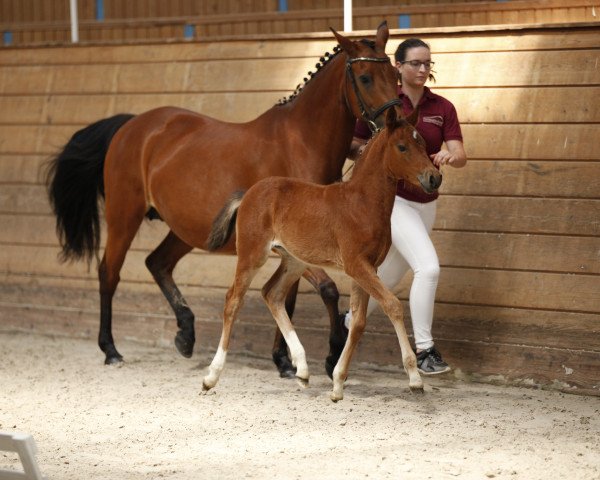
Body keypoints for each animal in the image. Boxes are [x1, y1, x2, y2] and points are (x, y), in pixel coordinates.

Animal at [205, 107, 440, 400]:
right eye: (402, 146)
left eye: (424, 144)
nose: (434, 177)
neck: (362, 203)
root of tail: (249, 192)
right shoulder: (356, 265)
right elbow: (393, 305)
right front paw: (414, 379)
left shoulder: (367, 267)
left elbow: (358, 321)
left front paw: (338, 383)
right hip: (252, 254)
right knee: (233, 300)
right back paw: (211, 376)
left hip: (294, 261)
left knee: (272, 294)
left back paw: (302, 370)